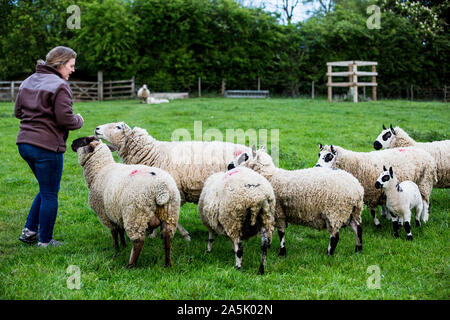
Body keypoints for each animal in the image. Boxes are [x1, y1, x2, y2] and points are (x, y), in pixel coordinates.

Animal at [70, 136, 179, 268]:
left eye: (82, 141)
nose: (71, 143)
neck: (100, 169)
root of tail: (162, 188)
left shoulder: (105, 214)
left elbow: (114, 232)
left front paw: (116, 249)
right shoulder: (116, 212)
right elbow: (120, 230)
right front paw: (123, 245)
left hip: (135, 214)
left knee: (138, 241)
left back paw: (131, 265)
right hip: (170, 212)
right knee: (167, 238)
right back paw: (167, 263)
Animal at [229, 146, 366, 256]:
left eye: (245, 157)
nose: (230, 165)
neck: (270, 176)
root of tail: (357, 188)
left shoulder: (279, 211)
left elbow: (281, 233)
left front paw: (282, 252)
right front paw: (269, 245)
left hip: (336, 211)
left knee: (335, 236)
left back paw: (329, 254)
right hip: (352, 211)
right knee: (357, 228)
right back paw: (358, 250)